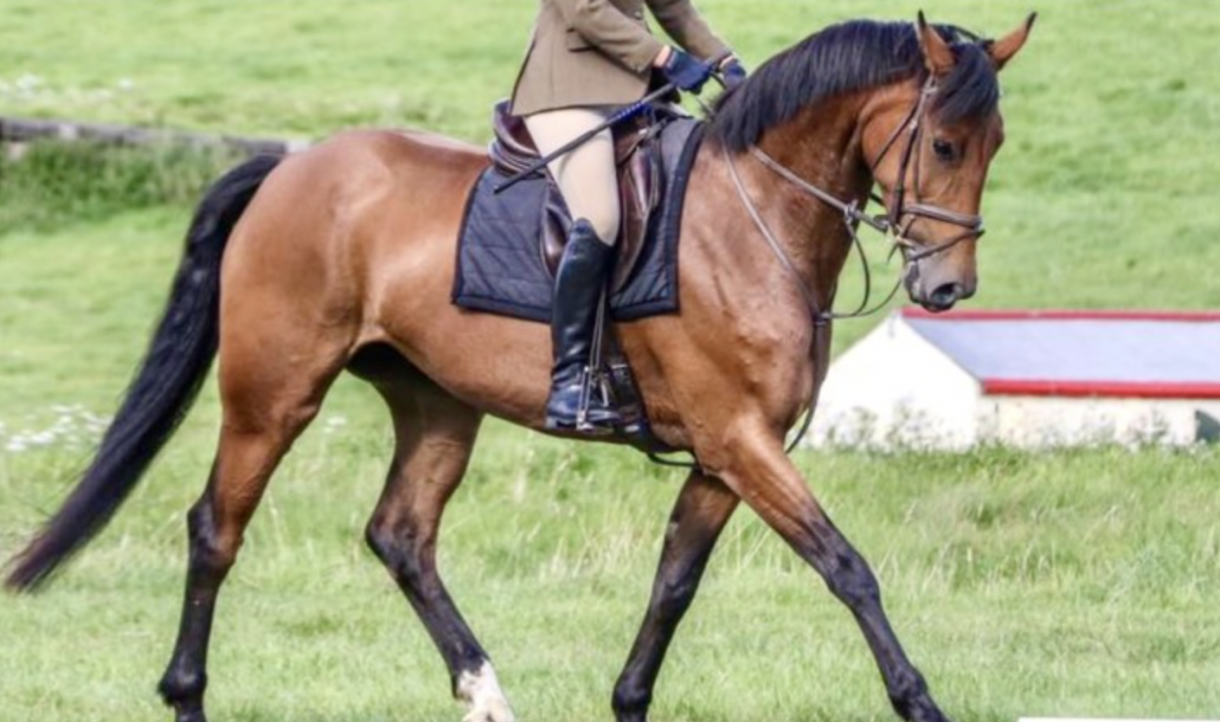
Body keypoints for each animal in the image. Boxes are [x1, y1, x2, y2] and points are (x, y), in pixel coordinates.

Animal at [6, 14, 1034, 722]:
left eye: (996, 147)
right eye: (945, 143)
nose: (948, 288)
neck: (755, 217)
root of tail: (291, 169)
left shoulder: (725, 453)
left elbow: (674, 583)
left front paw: (627, 704)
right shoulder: (741, 440)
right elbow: (847, 566)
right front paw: (919, 701)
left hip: (436, 404)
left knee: (401, 536)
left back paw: (486, 692)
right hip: (274, 393)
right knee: (217, 527)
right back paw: (188, 695)